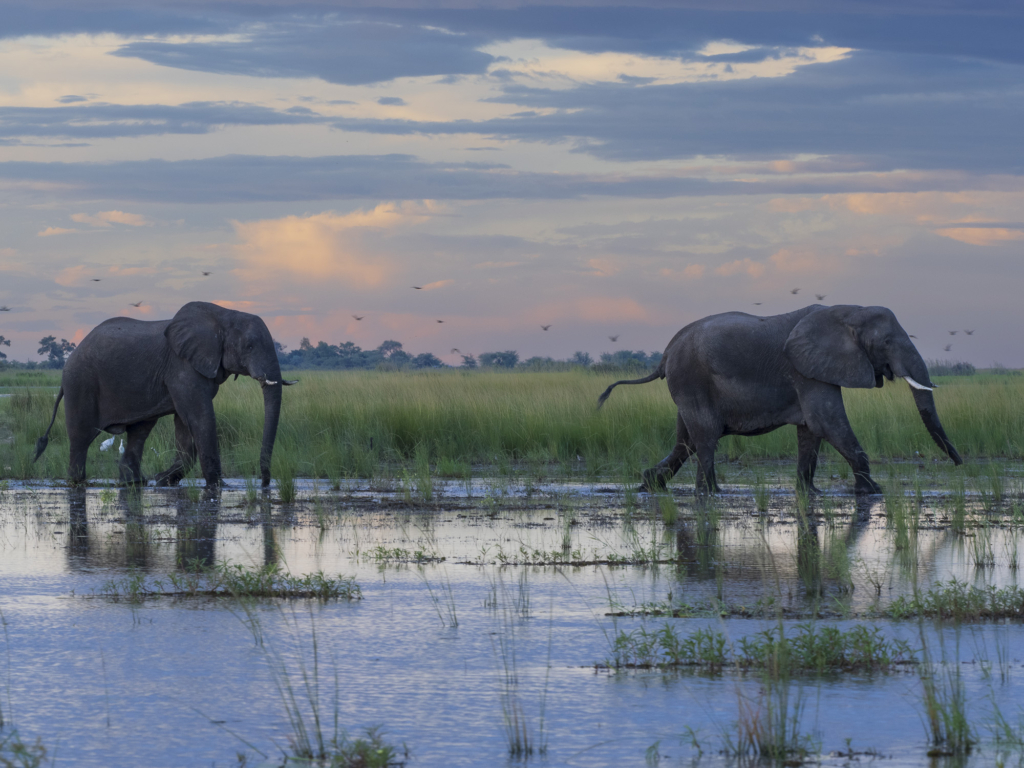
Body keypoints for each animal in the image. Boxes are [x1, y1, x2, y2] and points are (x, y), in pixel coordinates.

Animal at [35, 301, 292, 487]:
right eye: (249, 346)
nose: (264, 483)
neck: (225, 314)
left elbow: (184, 423)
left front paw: (163, 480)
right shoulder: (182, 366)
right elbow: (199, 417)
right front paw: (218, 486)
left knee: (139, 432)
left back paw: (135, 482)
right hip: (80, 383)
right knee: (81, 437)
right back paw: (77, 482)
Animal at [598, 303, 962, 495]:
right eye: (886, 342)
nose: (960, 465)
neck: (846, 311)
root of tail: (666, 352)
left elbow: (811, 432)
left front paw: (809, 493)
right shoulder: (806, 371)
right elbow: (827, 422)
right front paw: (872, 492)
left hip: (687, 383)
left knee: (685, 440)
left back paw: (649, 483)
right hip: (691, 377)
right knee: (705, 438)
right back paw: (710, 493)